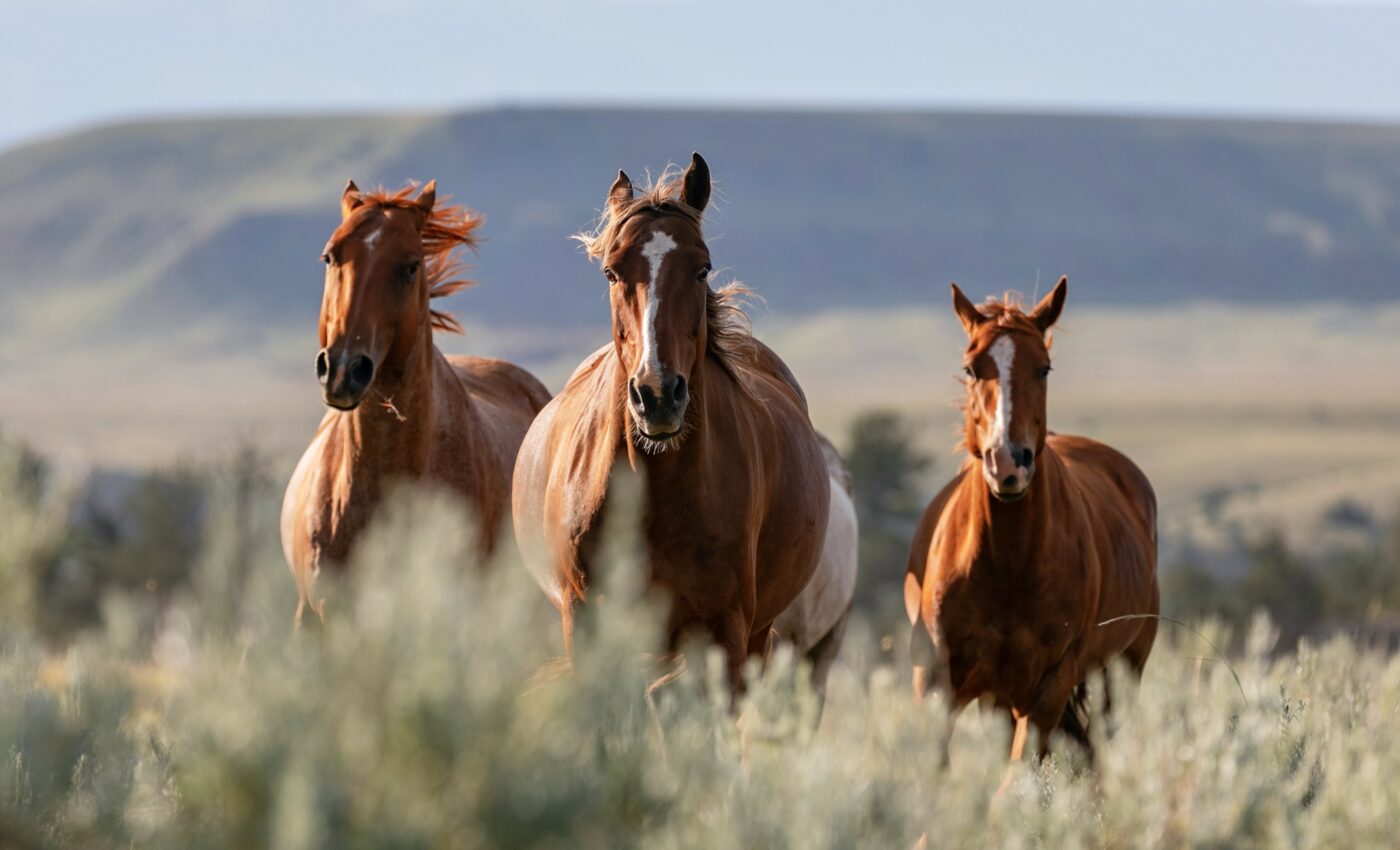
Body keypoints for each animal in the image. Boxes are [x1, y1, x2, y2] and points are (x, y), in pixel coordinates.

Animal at [904, 277, 1158, 762]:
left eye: (1044, 368)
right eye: (971, 368)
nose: (1009, 463)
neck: (1007, 567)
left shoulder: (1048, 688)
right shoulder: (938, 681)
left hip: (1119, 676)